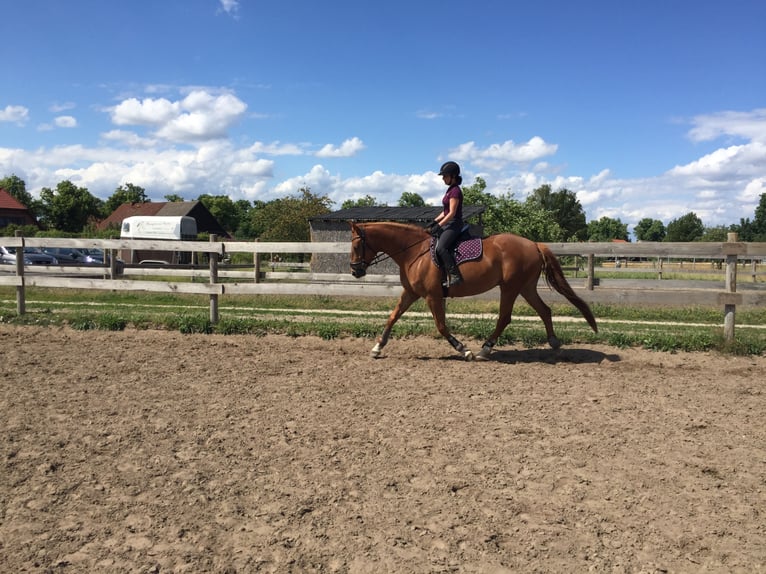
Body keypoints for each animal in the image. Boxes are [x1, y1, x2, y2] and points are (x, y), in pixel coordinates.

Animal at [350, 223, 600, 362]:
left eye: (355, 245)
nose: (355, 271)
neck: (414, 252)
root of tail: (533, 244)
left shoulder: (432, 296)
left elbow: (441, 326)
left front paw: (464, 350)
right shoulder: (411, 293)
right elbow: (392, 317)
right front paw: (377, 348)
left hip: (510, 287)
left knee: (505, 317)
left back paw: (485, 350)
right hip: (526, 287)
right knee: (544, 310)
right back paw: (555, 344)